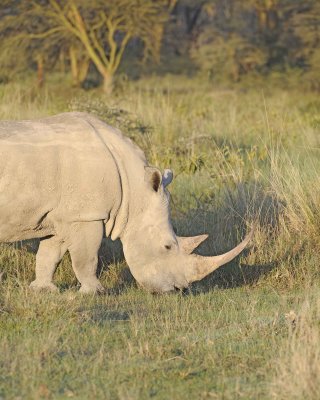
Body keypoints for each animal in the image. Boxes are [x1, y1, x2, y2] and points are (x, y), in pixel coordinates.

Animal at [0, 112, 252, 294]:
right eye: (167, 247)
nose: (178, 289)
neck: (134, 190)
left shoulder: (67, 214)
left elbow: (50, 252)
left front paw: (43, 290)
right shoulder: (87, 215)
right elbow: (86, 258)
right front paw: (94, 293)